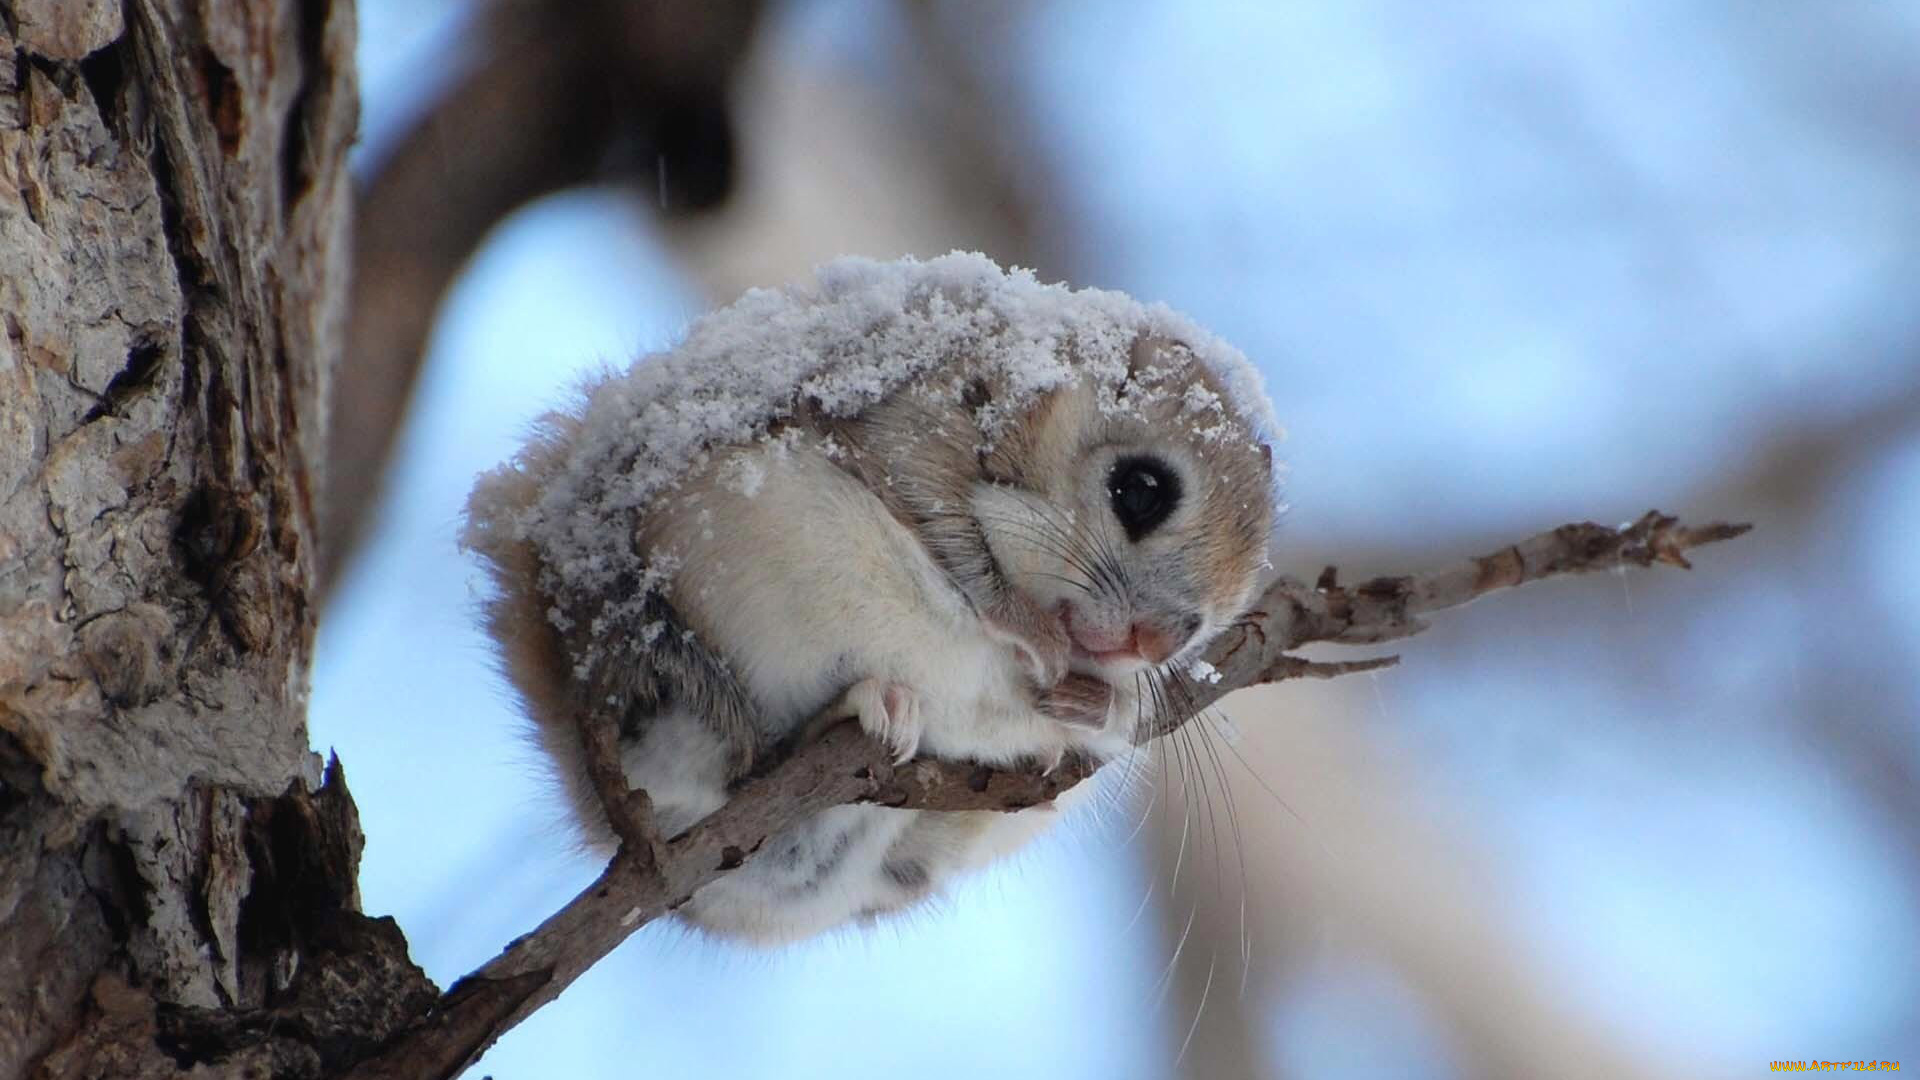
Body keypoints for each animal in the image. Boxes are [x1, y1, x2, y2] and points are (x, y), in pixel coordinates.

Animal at [456, 251, 1282, 941]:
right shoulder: (911, 424)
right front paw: (1030, 632)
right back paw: (859, 708)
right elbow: (953, 536)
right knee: (737, 762)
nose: (1157, 641)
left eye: (1216, 616)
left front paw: (1099, 702)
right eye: (1141, 490)